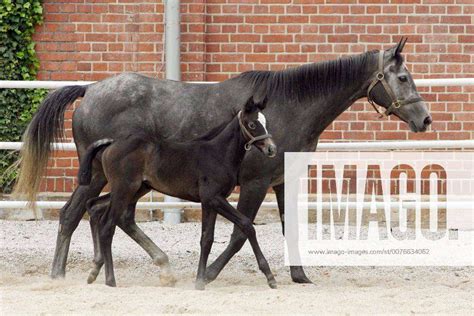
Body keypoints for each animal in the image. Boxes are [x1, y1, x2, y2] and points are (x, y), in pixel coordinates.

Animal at [79, 97, 276, 290]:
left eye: (266, 122)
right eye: (252, 124)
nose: (271, 149)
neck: (218, 154)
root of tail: (112, 143)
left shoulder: (210, 202)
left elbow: (207, 238)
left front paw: (200, 280)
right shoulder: (212, 198)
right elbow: (246, 225)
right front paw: (270, 277)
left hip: (136, 189)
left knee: (95, 206)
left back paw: (95, 269)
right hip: (124, 189)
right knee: (107, 226)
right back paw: (110, 280)